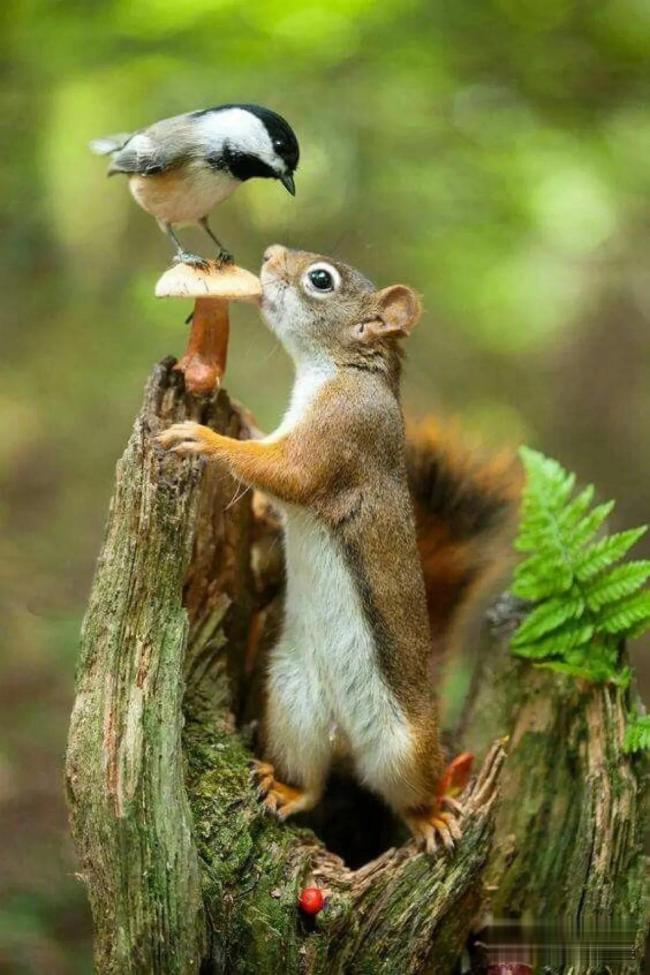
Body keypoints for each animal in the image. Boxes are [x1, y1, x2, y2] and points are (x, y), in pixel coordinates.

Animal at [157, 242, 516, 856]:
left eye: (320, 280)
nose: (270, 254)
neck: (338, 370)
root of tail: (344, 731)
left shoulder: (341, 436)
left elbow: (286, 474)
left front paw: (204, 438)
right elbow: (272, 488)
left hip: (403, 745)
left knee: (409, 791)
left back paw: (432, 816)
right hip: (292, 699)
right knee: (314, 780)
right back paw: (287, 789)